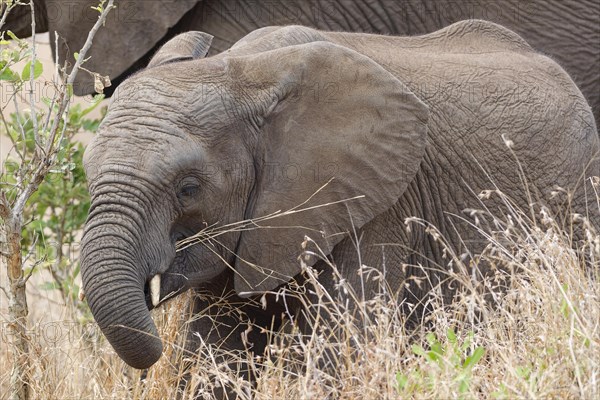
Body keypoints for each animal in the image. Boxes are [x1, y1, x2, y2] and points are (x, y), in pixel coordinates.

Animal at [77, 18, 596, 384]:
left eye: (188, 188)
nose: (147, 363)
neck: (243, 73)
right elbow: (214, 355)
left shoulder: (375, 205)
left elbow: (341, 348)